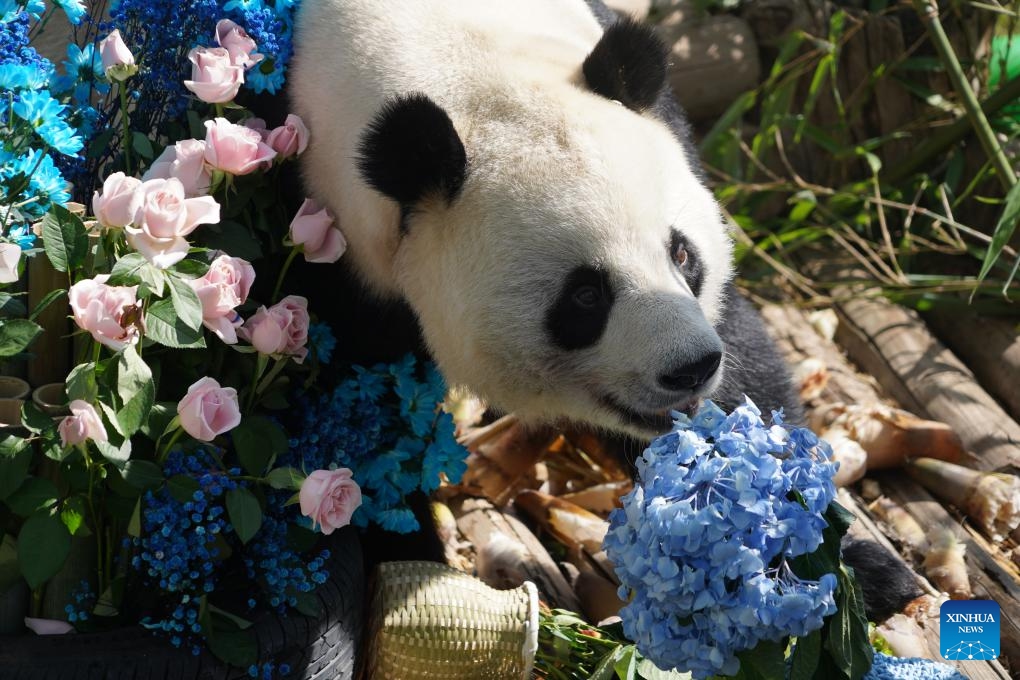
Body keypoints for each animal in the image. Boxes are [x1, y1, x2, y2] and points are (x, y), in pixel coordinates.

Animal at [288, 0, 920, 621]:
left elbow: (745, 383)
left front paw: (836, 565)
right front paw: (410, 559)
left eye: (682, 253)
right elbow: (356, 427)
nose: (690, 369)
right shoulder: (337, 245)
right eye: (586, 296)